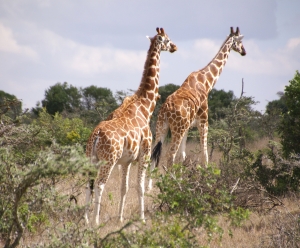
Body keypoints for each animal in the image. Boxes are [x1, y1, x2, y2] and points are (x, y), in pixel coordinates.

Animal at [84, 28, 177, 226]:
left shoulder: (126, 161)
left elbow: (124, 187)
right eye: (167, 39)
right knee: (100, 184)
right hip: (108, 159)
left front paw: (120, 218)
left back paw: (86, 219)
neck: (145, 106)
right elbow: (140, 186)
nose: (175, 47)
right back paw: (96, 221)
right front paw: (142, 218)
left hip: (91, 158)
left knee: (89, 184)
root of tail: (96, 134)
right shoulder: (145, 153)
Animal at [149, 27, 246, 190]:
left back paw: (149, 187)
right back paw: (169, 184)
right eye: (240, 41)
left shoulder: (188, 127)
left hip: (162, 126)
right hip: (177, 129)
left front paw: (182, 182)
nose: (244, 51)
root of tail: (166, 110)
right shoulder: (204, 121)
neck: (207, 82)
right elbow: (204, 155)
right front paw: (205, 181)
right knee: (170, 155)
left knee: (154, 155)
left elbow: (183, 156)